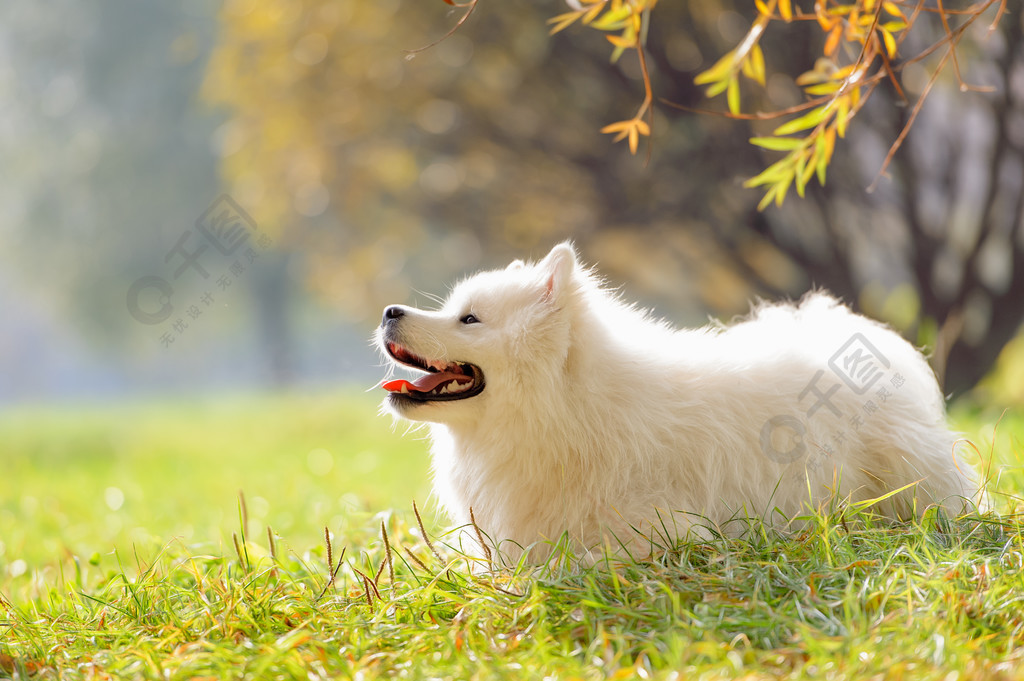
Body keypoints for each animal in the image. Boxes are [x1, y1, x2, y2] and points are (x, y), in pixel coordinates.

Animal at [376, 241, 974, 561]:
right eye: (455, 309)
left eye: (469, 319)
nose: (388, 311)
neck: (566, 409)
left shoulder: (666, 530)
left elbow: (567, 564)